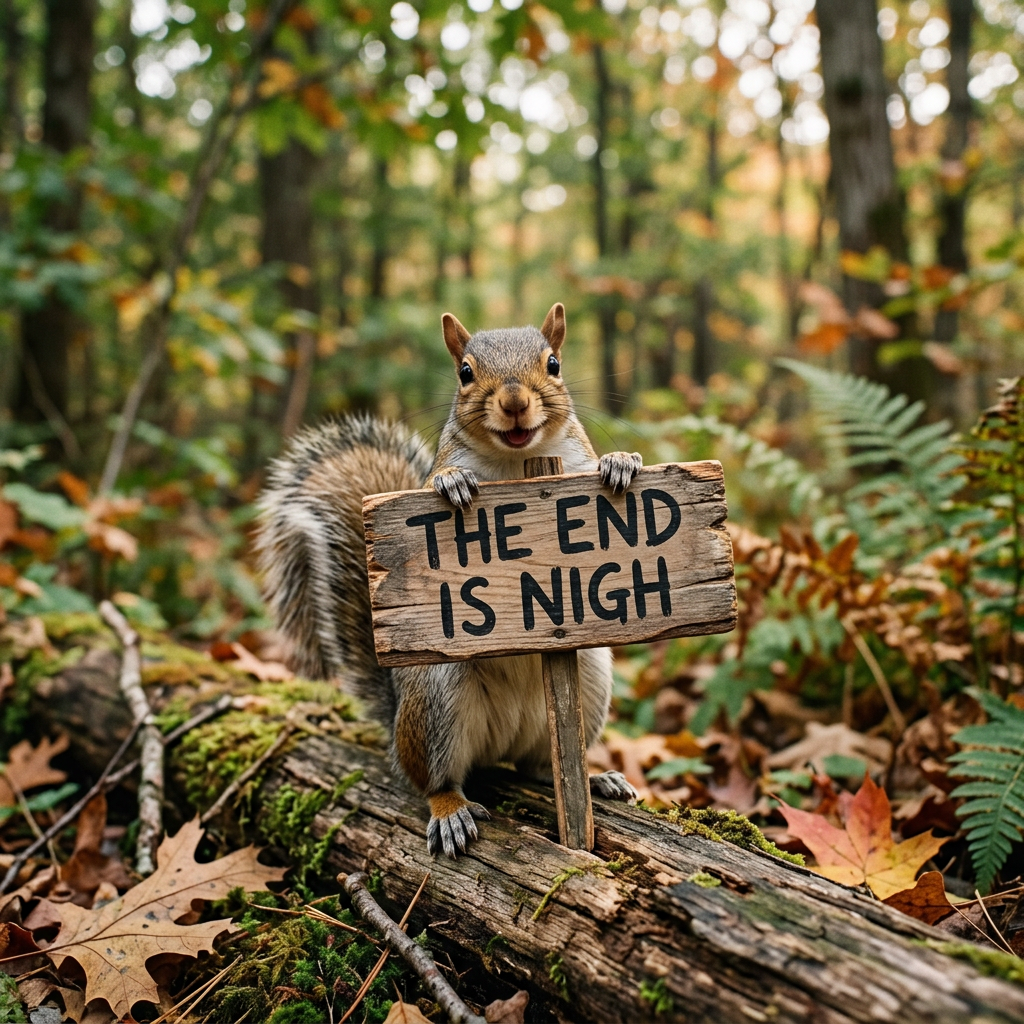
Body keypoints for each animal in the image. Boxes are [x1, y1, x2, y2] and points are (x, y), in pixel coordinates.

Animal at [256, 303, 641, 858]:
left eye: (554, 364)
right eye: (464, 372)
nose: (514, 402)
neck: (516, 461)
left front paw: (622, 461)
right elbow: (438, 482)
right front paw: (450, 482)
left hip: (588, 678)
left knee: (541, 767)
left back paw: (593, 778)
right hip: (437, 696)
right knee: (432, 781)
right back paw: (451, 811)